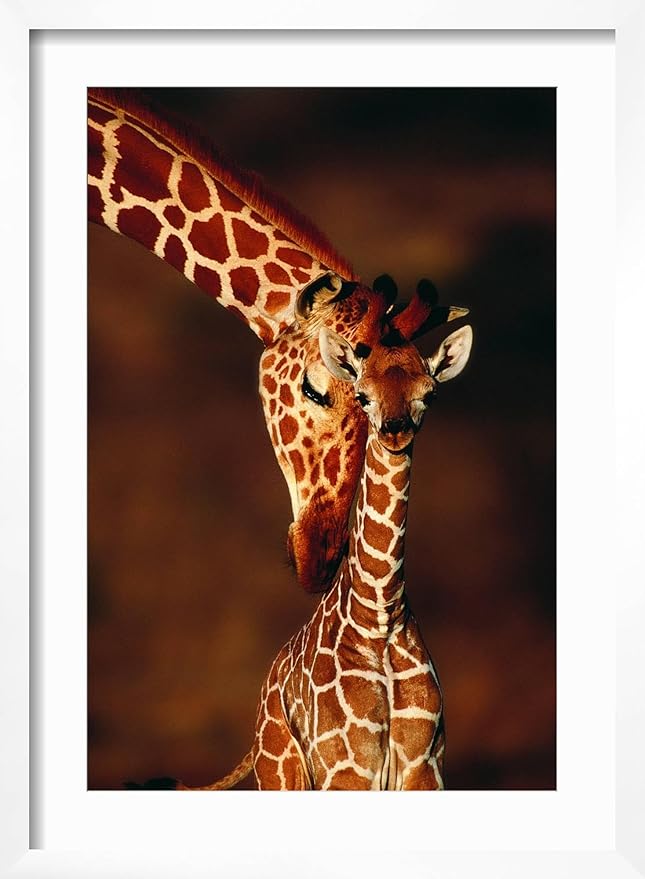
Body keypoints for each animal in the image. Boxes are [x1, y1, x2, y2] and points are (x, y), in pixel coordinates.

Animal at [170, 314, 473, 790]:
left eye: (430, 393)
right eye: (363, 395)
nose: (395, 430)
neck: (380, 615)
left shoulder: (425, 767)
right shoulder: (345, 768)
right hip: (282, 772)